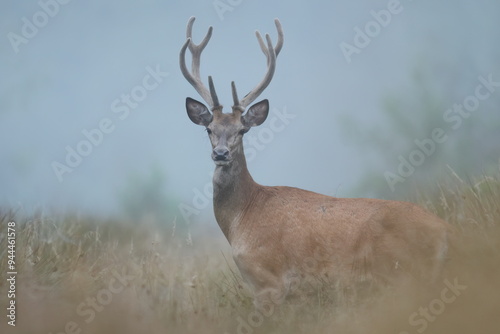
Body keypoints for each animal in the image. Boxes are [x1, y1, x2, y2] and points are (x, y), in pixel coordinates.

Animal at [179, 15, 450, 308]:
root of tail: (445, 232)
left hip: (398, 270)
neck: (241, 219)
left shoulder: (268, 280)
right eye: (209, 129)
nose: (220, 153)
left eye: (242, 130)